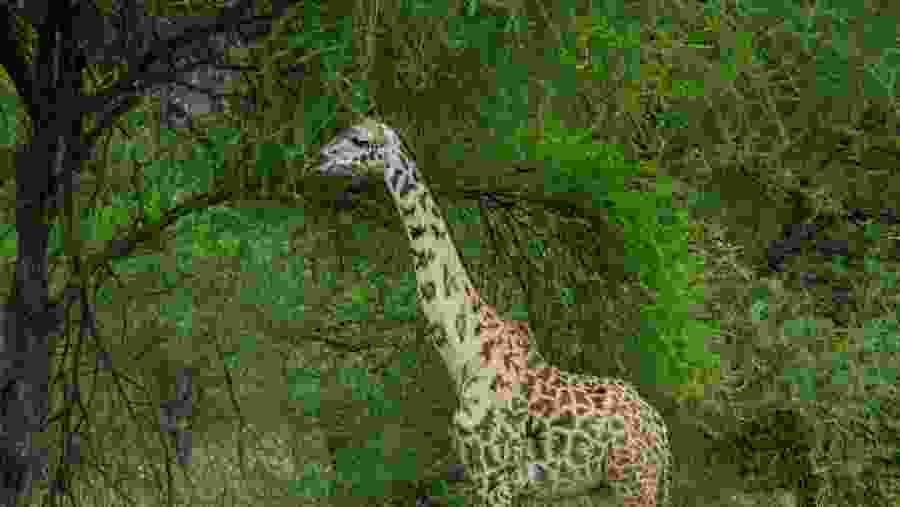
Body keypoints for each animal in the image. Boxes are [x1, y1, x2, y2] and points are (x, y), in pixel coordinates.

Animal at [314, 118, 672, 507]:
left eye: (359, 140)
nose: (322, 158)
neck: (464, 350)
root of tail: (661, 433)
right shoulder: (491, 477)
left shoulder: (496, 476)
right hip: (616, 484)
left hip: (634, 480)